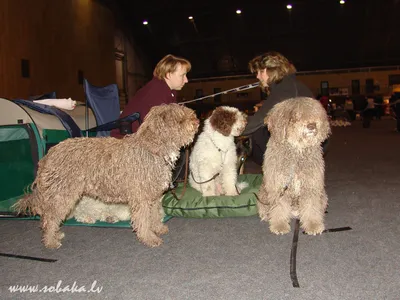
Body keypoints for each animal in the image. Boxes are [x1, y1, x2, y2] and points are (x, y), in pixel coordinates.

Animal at [14, 103, 200, 248]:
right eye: (180, 119)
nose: (197, 120)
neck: (152, 149)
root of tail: (49, 155)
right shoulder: (140, 197)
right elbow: (143, 220)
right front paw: (149, 238)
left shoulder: (152, 196)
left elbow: (153, 215)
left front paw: (158, 228)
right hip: (63, 193)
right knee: (50, 218)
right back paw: (51, 241)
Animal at [256, 97, 332, 236]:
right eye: (295, 117)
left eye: (314, 114)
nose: (312, 126)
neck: (296, 154)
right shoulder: (279, 186)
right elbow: (279, 208)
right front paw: (279, 226)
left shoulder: (310, 186)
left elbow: (311, 207)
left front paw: (313, 226)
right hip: (263, 194)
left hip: (323, 196)